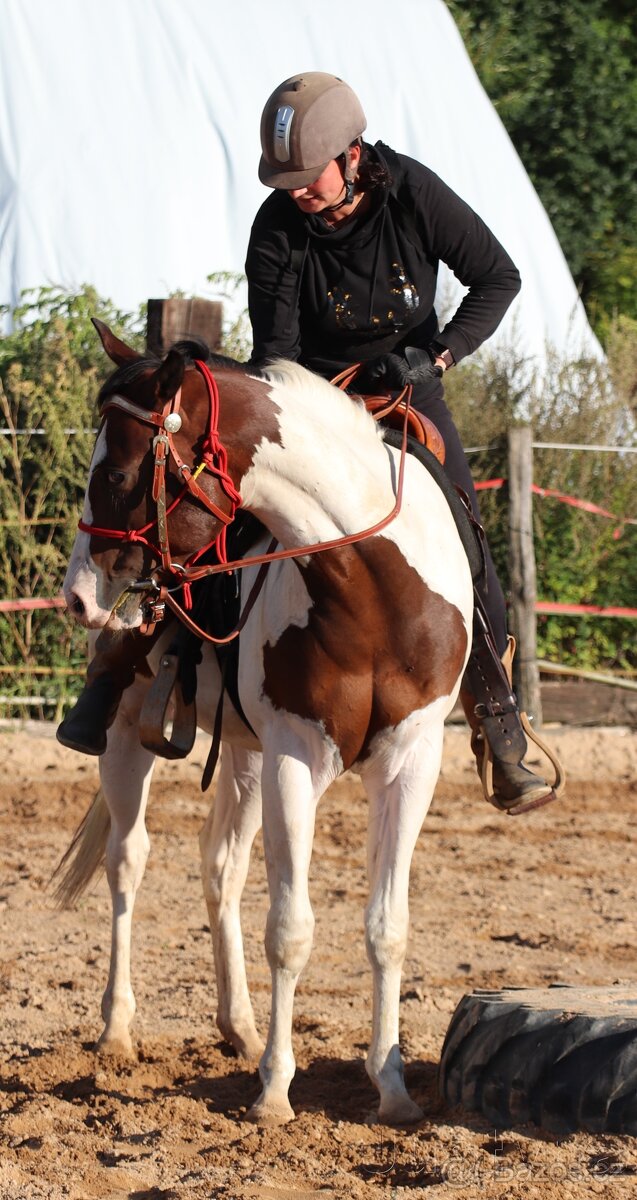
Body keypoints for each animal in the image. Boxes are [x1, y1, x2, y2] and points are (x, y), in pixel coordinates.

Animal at [56, 319, 473, 1126]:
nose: (78, 598)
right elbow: (290, 928)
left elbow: (388, 926)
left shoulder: (411, 762)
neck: (372, 588)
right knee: (129, 860)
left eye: (116, 478)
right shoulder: (294, 756)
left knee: (221, 866)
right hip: (128, 739)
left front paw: (392, 1087)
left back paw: (240, 1026)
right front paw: (276, 1091)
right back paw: (118, 1030)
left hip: (244, 757)